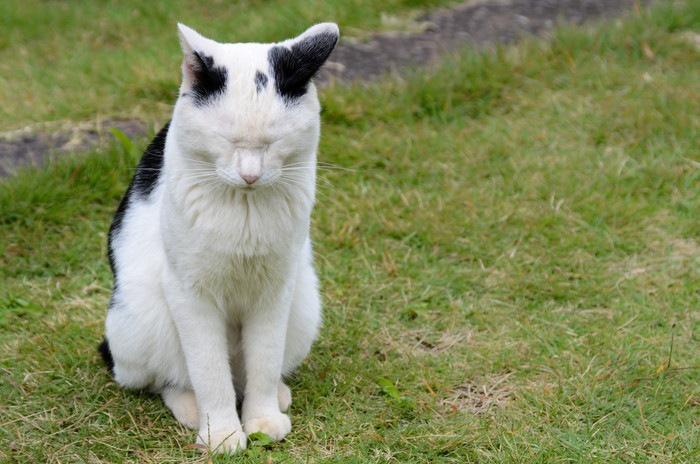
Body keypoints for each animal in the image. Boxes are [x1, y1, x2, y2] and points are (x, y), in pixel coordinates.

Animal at [98, 21, 340, 454]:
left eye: (273, 142)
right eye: (227, 139)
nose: (250, 174)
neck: (244, 209)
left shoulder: (275, 289)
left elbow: (264, 361)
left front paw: (261, 420)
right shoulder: (189, 294)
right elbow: (209, 371)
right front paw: (222, 434)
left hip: (303, 302)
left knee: (251, 373)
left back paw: (277, 395)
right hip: (140, 316)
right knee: (169, 379)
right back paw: (192, 408)